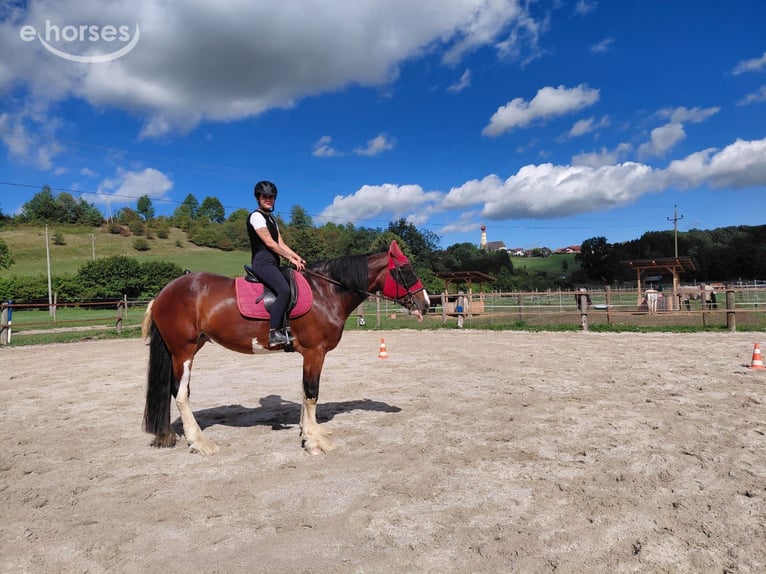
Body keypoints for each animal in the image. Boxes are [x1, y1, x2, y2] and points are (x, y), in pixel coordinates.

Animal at [141, 240, 430, 456]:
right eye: (406, 271)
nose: (425, 304)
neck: (325, 291)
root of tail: (164, 292)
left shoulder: (309, 355)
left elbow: (304, 391)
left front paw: (310, 431)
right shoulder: (315, 352)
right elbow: (312, 393)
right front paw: (314, 441)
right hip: (183, 351)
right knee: (180, 393)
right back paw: (199, 442)